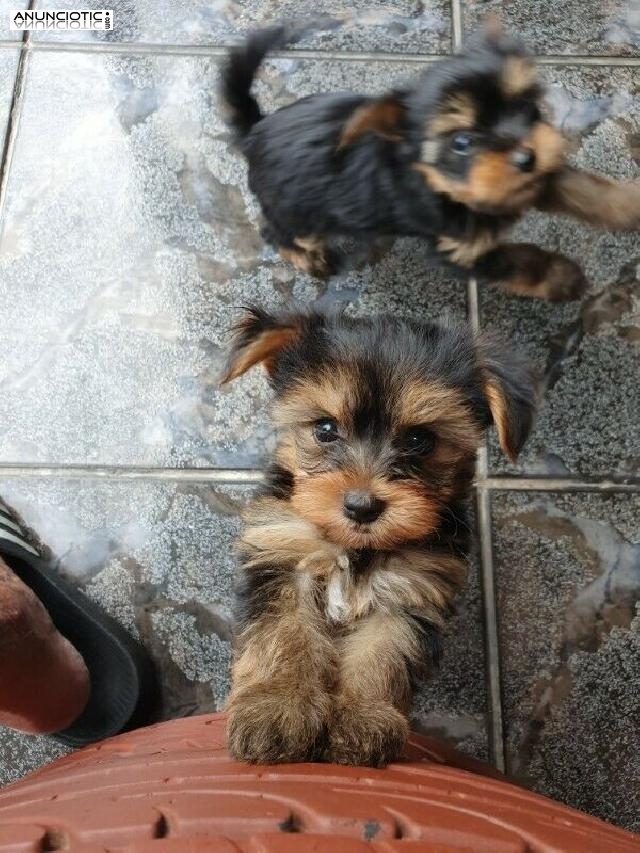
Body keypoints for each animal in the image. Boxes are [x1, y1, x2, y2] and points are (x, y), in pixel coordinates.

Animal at [220, 306, 536, 764]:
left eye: (420, 439)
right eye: (325, 429)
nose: (362, 506)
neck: (355, 548)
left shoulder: (408, 587)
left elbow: (382, 651)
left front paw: (361, 718)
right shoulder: (282, 554)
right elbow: (283, 632)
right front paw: (278, 707)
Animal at [222, 24, 640, 300]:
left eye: (527, 107)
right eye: (461, 142)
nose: (526, 157)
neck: (440, 183)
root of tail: (255, 130)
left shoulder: (526, 182)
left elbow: (577, 185)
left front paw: (625, 204)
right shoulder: (457, 248)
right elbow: (517, 262)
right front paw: (563, 278)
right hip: (299, 211)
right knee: (275, 231)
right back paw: (305, 257)